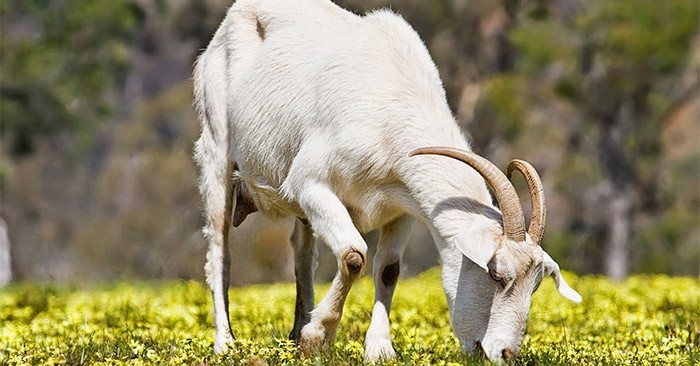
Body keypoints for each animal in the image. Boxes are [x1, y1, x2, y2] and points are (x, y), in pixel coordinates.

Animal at [191, 0, 580, 360]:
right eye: (497, 275)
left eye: (536, 285)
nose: (504, 353)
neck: (392, 109)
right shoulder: (310, 184)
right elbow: (353, 256)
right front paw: (319, 336)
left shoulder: (403, 207)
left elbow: (389, 269)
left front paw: (377, 350)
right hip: (216, 148)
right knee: (219, 251)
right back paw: (226, 343)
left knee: (302, 255)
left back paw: (296, 330)